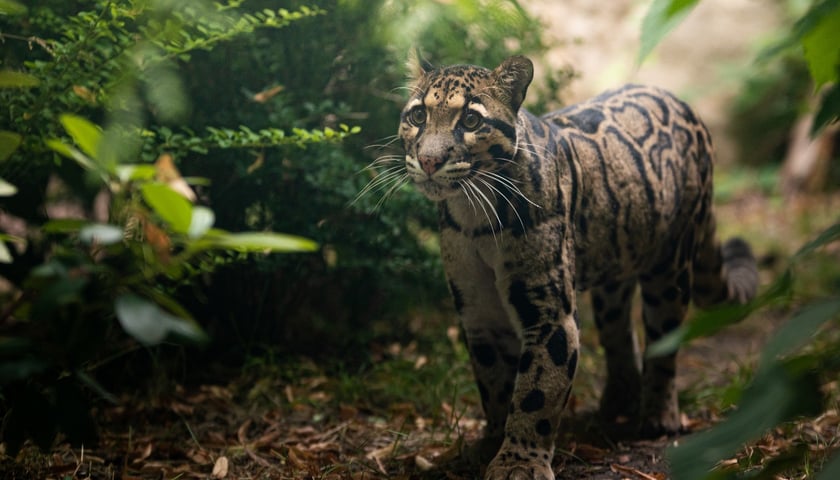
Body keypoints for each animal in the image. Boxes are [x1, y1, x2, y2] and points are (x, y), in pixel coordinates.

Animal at [390, 55, 756, 480]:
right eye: (418, 115)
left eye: (470, 120)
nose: (430, 161)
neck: (473, 216)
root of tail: (685, 104)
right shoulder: (478, 309)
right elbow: (493, 382)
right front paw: (491, 443)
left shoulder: (549, 311)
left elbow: (536, 391)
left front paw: (519, 462)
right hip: (615, 265)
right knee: (618, 333)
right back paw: (617, 404)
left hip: (671, 264)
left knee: (664, 340)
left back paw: (657, 416)